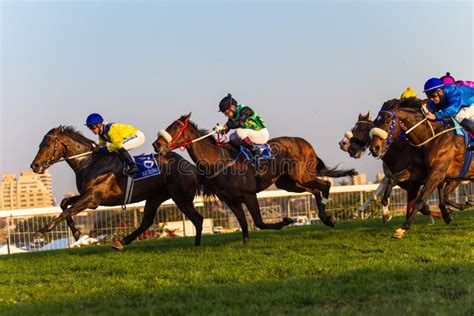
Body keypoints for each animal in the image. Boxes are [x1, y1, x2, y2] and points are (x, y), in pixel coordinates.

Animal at [29, 125, 204, 247]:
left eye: (46, 145)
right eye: (40, 144)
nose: (34, 165)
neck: (88, 162)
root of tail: (190, 166)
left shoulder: (92, 198)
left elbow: (67, 211)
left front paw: (41, 231)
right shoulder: (87, 195)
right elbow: (64, 204)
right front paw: (77, 232)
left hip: (180, 197)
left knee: (198, 219)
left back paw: (196, 244)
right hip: (156, 197)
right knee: (147, 222)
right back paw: (121, 242)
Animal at [152, 115, 356, 243]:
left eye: (176, 127)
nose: (156, 144)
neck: (219, 161)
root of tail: (305, 143)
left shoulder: (249, 195)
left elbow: (258, 222)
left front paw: (286, 221)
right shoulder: (231, 200)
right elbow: (244, 223)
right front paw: (246, 243)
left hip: (301, 176)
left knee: (325, 184)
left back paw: (328, 218)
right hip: (290, 183)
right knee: (315, 190)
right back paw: (325, 217)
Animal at [370, 102, 474, 238]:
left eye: (387, 120)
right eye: (375, 122)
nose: (374, 148)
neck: (431, 138)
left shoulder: (436, 174)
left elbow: (419, 201)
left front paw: (403, 228)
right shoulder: (419, 172)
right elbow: (392, 179)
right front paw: (386, 214)